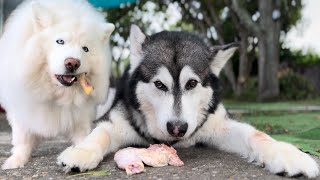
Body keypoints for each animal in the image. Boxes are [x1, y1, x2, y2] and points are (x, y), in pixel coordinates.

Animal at [0, 0, 115, 169]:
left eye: (85, 49)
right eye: (60, 41)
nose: (72, 63)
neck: (57, 93)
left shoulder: (81, 115)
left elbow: (83, 137)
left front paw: (80, 154)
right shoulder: (22, 110)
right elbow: (22, 139)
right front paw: (17, 161)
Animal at [57, 25, 318, 177]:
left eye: (191, 84)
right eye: (159, 85)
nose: (177, 128)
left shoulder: (217, 123)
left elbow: (256, 134)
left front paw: (288, 154)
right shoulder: (115, 120)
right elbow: (100, 132)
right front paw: (81, 152)